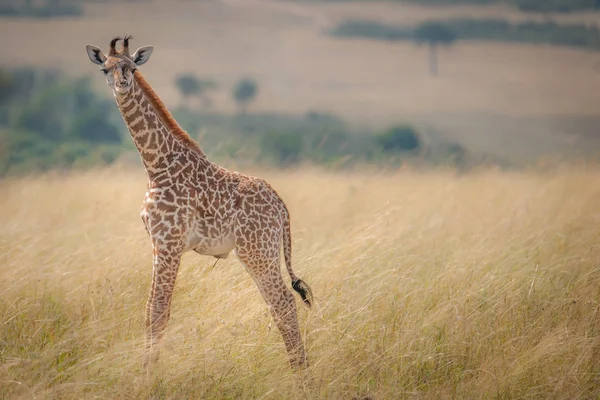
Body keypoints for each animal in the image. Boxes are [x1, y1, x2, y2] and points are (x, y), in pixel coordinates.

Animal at [86, 36, 316, 368]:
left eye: (131, 67)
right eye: (105, 68)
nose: (123, 83)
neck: (156, 164)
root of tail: (282, 208)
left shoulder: (168, 241)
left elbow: (157, 309)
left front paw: (148, 375)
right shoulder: (157, 243)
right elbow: (153, 309)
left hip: (257, 251)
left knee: (283, 302)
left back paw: (300, 373)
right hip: (263, 252)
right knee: (278, 304)